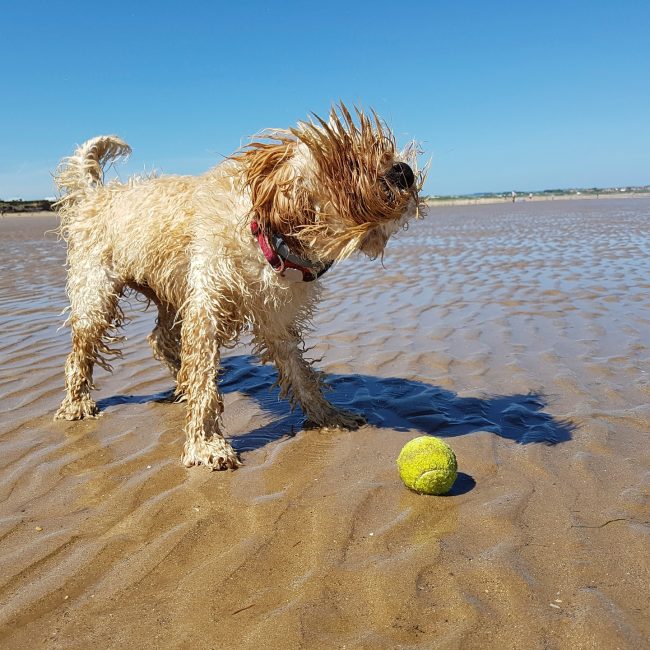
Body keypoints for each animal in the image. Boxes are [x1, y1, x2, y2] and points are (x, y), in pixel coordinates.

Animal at [54, 104, 423, 469]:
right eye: (349, 161)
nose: (404, 171)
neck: (267, 239)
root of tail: (96, 195)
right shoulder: (207, 308)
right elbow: (204, 377)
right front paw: (207, 445)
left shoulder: (274, 318)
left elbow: (299, 372)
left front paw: (327, 415)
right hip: (97, 295)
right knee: (81, 351)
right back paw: (77, 403)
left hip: (170, 291)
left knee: (159, 338)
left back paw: (178, 380)